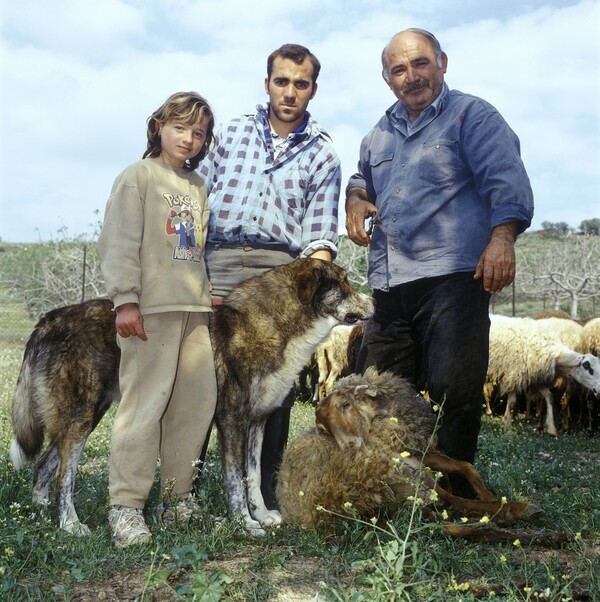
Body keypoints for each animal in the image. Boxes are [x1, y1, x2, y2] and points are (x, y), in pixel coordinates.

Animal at [278, 368, 544, 536]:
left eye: (345, 405)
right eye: (323, 428)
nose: (350, 447)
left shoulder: (417, 450)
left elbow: (464, 467)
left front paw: (485, 492)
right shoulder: (408, 453)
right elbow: (462, 472)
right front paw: (493, 500)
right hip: (400, 474)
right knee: (454, 503)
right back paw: (519, 510)